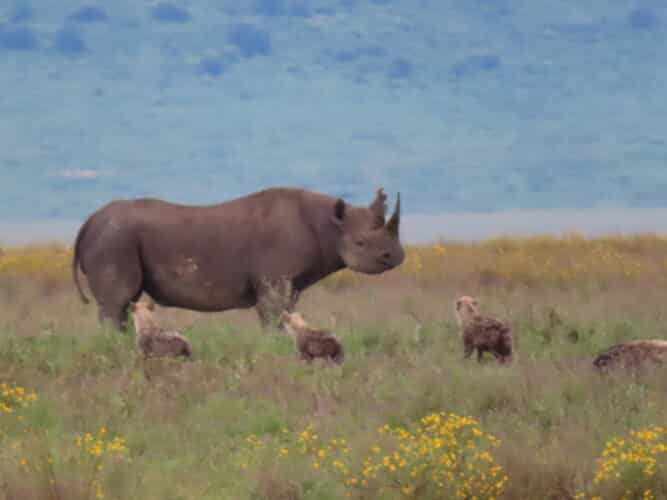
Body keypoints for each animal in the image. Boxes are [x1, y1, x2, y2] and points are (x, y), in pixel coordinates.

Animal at [72, 186, 404, 331]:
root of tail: (89, 221)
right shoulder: (274, 280)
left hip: (113, 237)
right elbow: (273, 316)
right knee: (116, 304)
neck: (330, 225)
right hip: (114, 239)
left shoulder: (291, 283)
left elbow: (287, 313)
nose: (396, 255)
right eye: (360, 243)